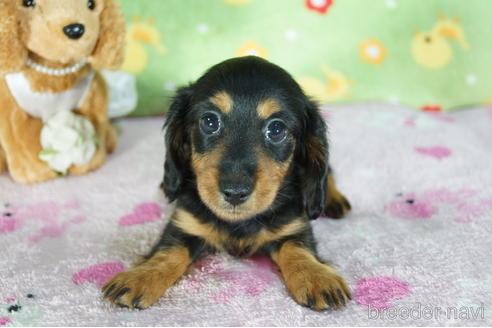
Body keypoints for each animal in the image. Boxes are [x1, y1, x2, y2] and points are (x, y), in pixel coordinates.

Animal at [102, 57, 352, 312]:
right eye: (210, 121)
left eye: (277, 129)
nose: (235, 192)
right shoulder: (185, 223)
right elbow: (168, 251)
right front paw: (141, 276)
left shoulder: (293, 225)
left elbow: (298, 249)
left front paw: (315, 276)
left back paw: (332, 199)